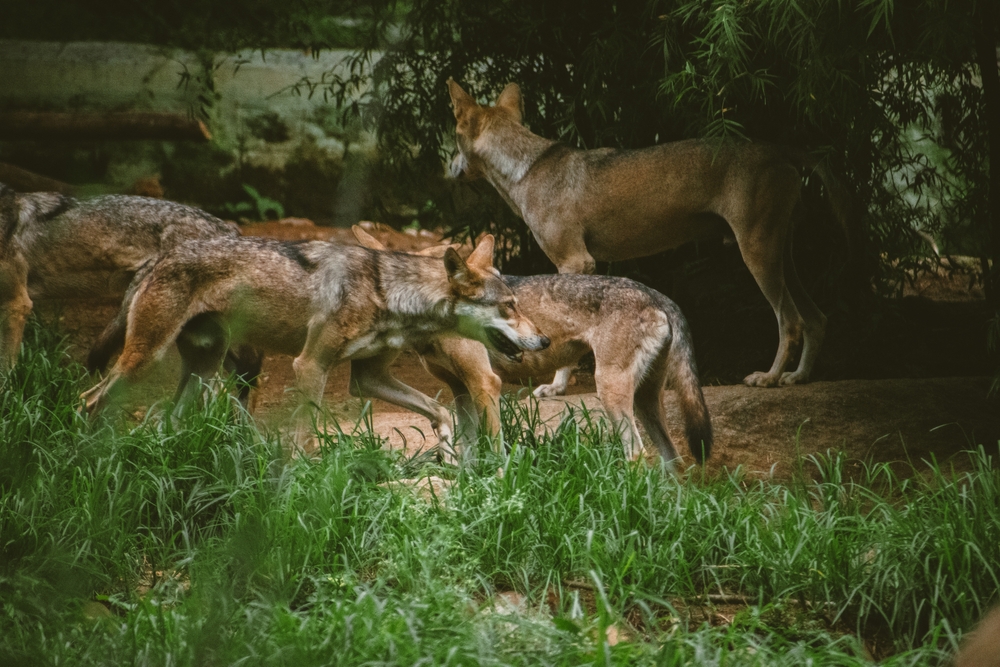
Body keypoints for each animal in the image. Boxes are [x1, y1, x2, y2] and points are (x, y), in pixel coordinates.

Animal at [80, 233, 550, 458]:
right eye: (509, 306)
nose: (543, 339)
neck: (389, 291)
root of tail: (157, 259)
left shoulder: (368, 378)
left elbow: (440, 410)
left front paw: (449, 450)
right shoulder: (309, 366)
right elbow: (303, 436)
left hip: (203, 370)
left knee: (167, 421)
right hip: (148, 359)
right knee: (90, 400)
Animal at [352, 226, 712, 464]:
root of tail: (659, 295)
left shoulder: (485, 382)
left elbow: (494, 448)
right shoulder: (461, 389)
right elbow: (467, 451)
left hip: (611, 392)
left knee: (637, 453)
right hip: (645, 401)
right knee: (673, 459)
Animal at [446, 79, 849, 389]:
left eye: (453, 139)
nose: (448, 166)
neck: (525, 168)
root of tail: (780, 148)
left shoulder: (575, 263)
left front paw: (556, 386)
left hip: (757, 256)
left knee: (791, 321)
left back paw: (769, 378)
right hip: (779, 257)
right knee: (817, 319)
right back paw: (798, 377)